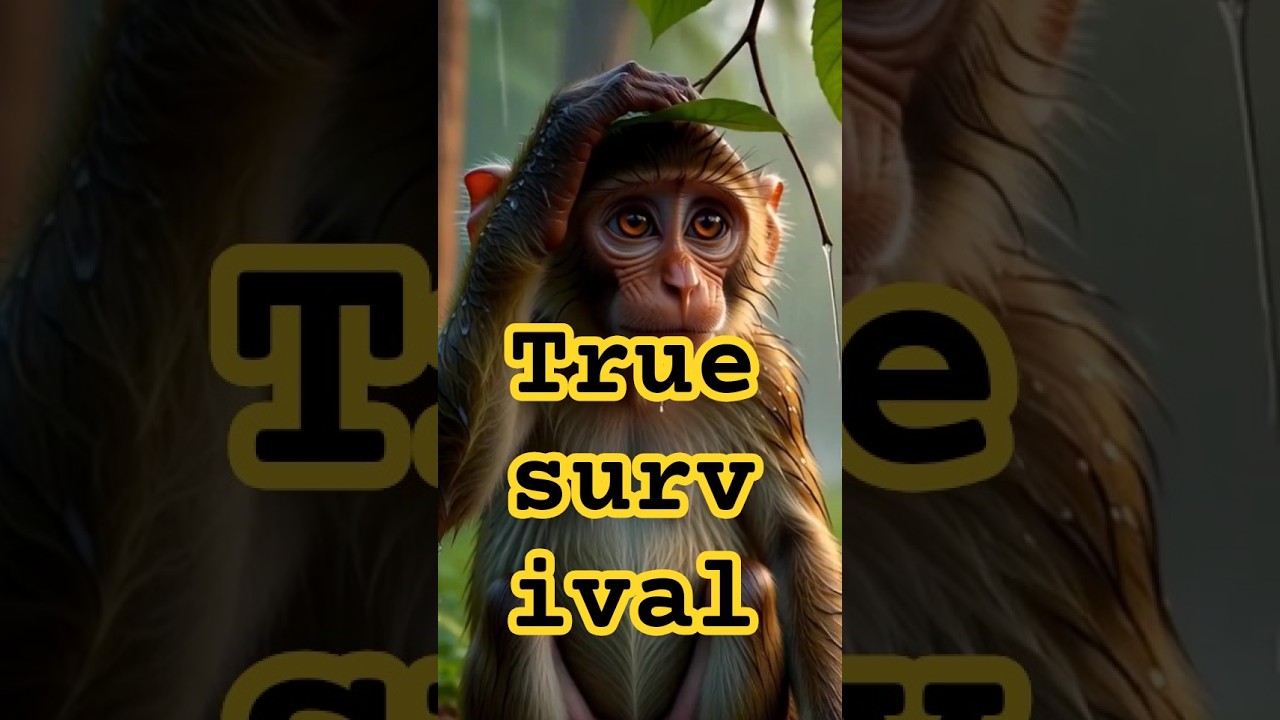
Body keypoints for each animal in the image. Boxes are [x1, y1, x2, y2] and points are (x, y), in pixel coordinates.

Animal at [438, 63, 843, 720]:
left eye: (708, 224)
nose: (681, 283)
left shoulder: (767, 382)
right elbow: (444, 486)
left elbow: (794, 544)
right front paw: (562, 143)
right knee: (512, 605)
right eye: (633, 223)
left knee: (747, 585)